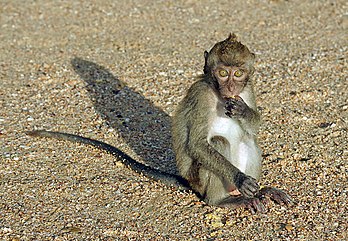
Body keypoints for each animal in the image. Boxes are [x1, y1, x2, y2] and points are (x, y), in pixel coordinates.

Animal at [27, 33, 290, 213]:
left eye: (238, 73)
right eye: (223, 73)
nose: (231, 88)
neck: (218, 93)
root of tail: (191, 184)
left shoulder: (248, 89)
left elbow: (255, 126)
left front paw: (242, 110)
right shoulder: (201, 96)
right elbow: (197, 144)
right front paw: (241, 178)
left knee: (249, 140)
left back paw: (264, 191)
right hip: (200, 181)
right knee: (218, 142)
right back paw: (224, 200)